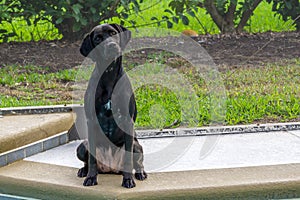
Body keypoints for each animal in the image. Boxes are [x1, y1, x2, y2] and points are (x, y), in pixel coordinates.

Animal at [76, 24, 146, 188]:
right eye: (98, 38)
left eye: (113, 33)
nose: (112, 46)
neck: (108, 76)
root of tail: (110, 168)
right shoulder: (91, 121)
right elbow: (92, 160)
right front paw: (91, 178)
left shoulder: (127, 121)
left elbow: (128, 161)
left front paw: (128, 180)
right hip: (82, 146)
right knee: (88, 160)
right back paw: (83, 171)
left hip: (136, 145)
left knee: (138, 162)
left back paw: (140, 173)